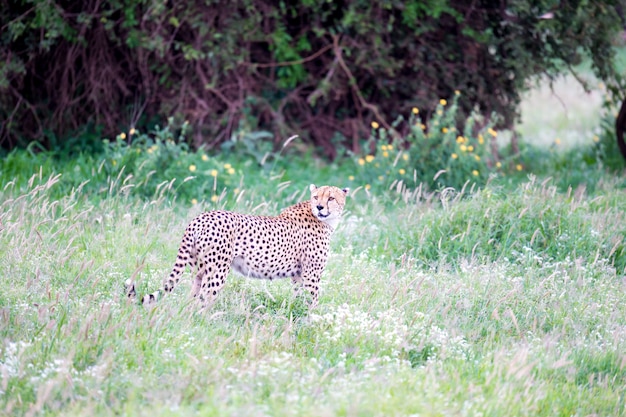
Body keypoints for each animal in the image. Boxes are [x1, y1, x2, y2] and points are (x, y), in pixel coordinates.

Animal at [125, 184, 346, 308]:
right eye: (316, 197)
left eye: (331, 198)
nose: (320, 206)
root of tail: (200, 217)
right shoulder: (310, 275)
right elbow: (312, 300)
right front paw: (313, 323)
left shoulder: (298, 275)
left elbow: (299, 298)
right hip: (218, 271)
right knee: (204, 298)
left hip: (200, 270)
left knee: (192, 296)